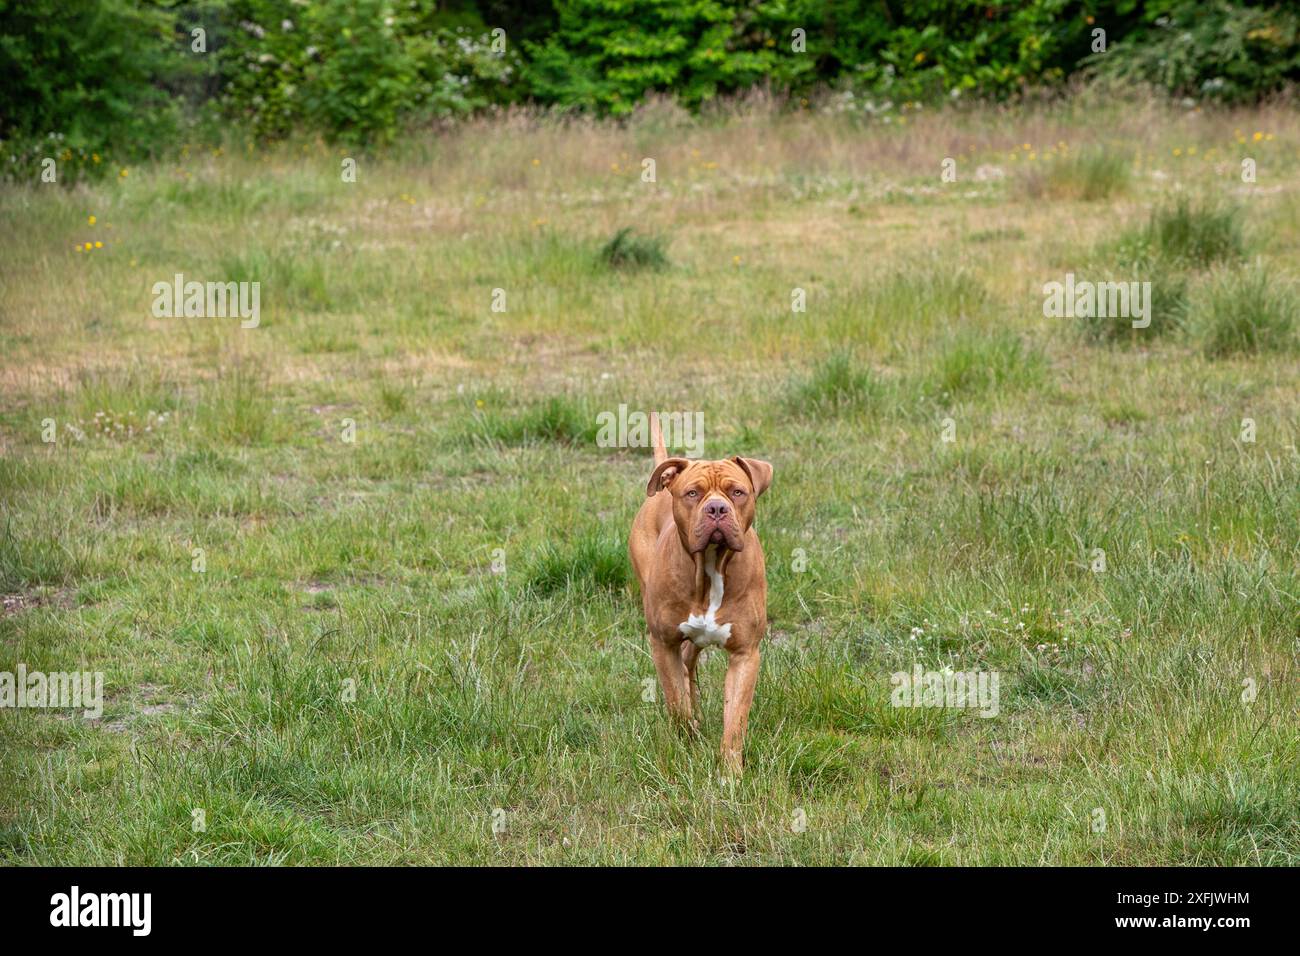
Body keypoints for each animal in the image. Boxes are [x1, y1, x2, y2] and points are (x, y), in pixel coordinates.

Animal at [629, 416, 769, 775]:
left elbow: (735, 721)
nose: (717, 508)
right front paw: (686, 745)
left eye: (737, 492)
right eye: (693, 493)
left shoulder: (745, 655)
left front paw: (730, 774)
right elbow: (676, 703)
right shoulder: (662, 643)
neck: (709, 566)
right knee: (684, 671)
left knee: (690, 661)